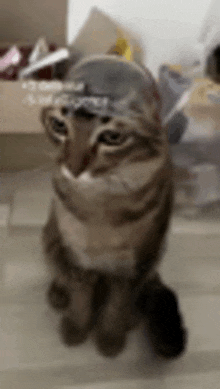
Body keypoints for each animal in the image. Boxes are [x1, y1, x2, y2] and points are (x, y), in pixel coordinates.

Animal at [40, 54, 186, 358]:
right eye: (59, 125)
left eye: (112, 138)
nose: (73, 168)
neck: (99, 208)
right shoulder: (78, 257)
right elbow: (81, 295)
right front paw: (76, 328)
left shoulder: (134, 264)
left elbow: (118, 303)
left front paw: (110, 338)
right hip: (48, 235)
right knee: (58, 267)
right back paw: (59, 292)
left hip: (156, 255)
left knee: (140, 291)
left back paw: (131, 318)